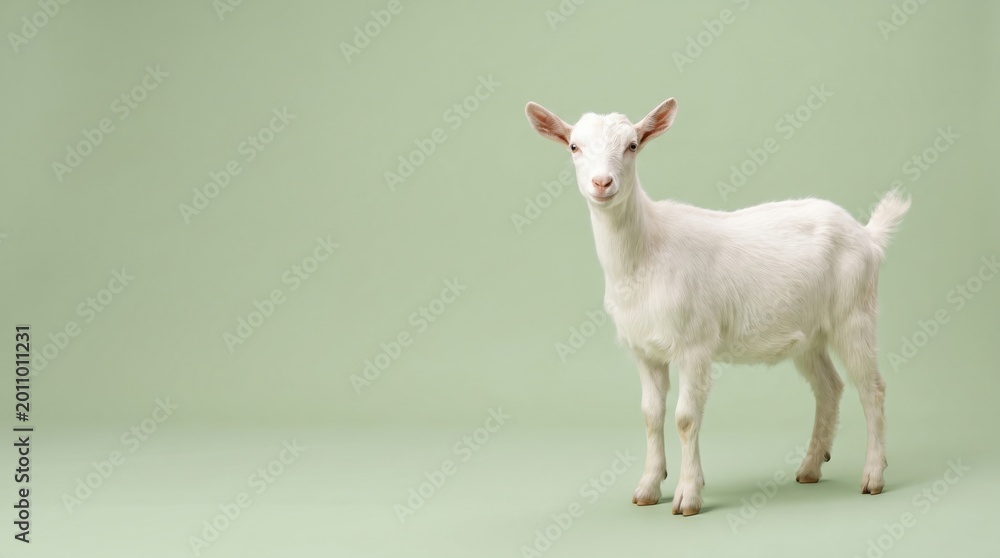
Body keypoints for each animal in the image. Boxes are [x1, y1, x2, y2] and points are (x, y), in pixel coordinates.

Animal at [524, 98, 909, 516]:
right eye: (574, 146)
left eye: (632, 145)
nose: (601, 183)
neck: (646, 252)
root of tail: (868, 235)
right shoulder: (644, 350)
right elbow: (650, 416)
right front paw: (648, 488)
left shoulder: (694, 344)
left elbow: (685, 418)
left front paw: (688, 496)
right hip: (810, 333)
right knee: (829, 386)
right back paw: (810, 466)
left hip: (854, 314)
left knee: (872, 388)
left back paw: (873, 476)